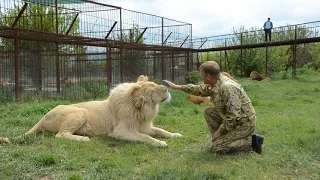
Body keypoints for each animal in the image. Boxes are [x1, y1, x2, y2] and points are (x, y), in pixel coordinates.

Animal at [0, 75, 181, 147]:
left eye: (155, 84)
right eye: (152, 90)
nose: (166, 88)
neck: (142, 110)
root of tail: (43, 117)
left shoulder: (145, 126)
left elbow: (161, 130)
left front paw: (175, 135)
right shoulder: (120, 132)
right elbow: (146, 137)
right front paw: (160, 143)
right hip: (79, 113)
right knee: (60, 135)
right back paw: (83, 139)